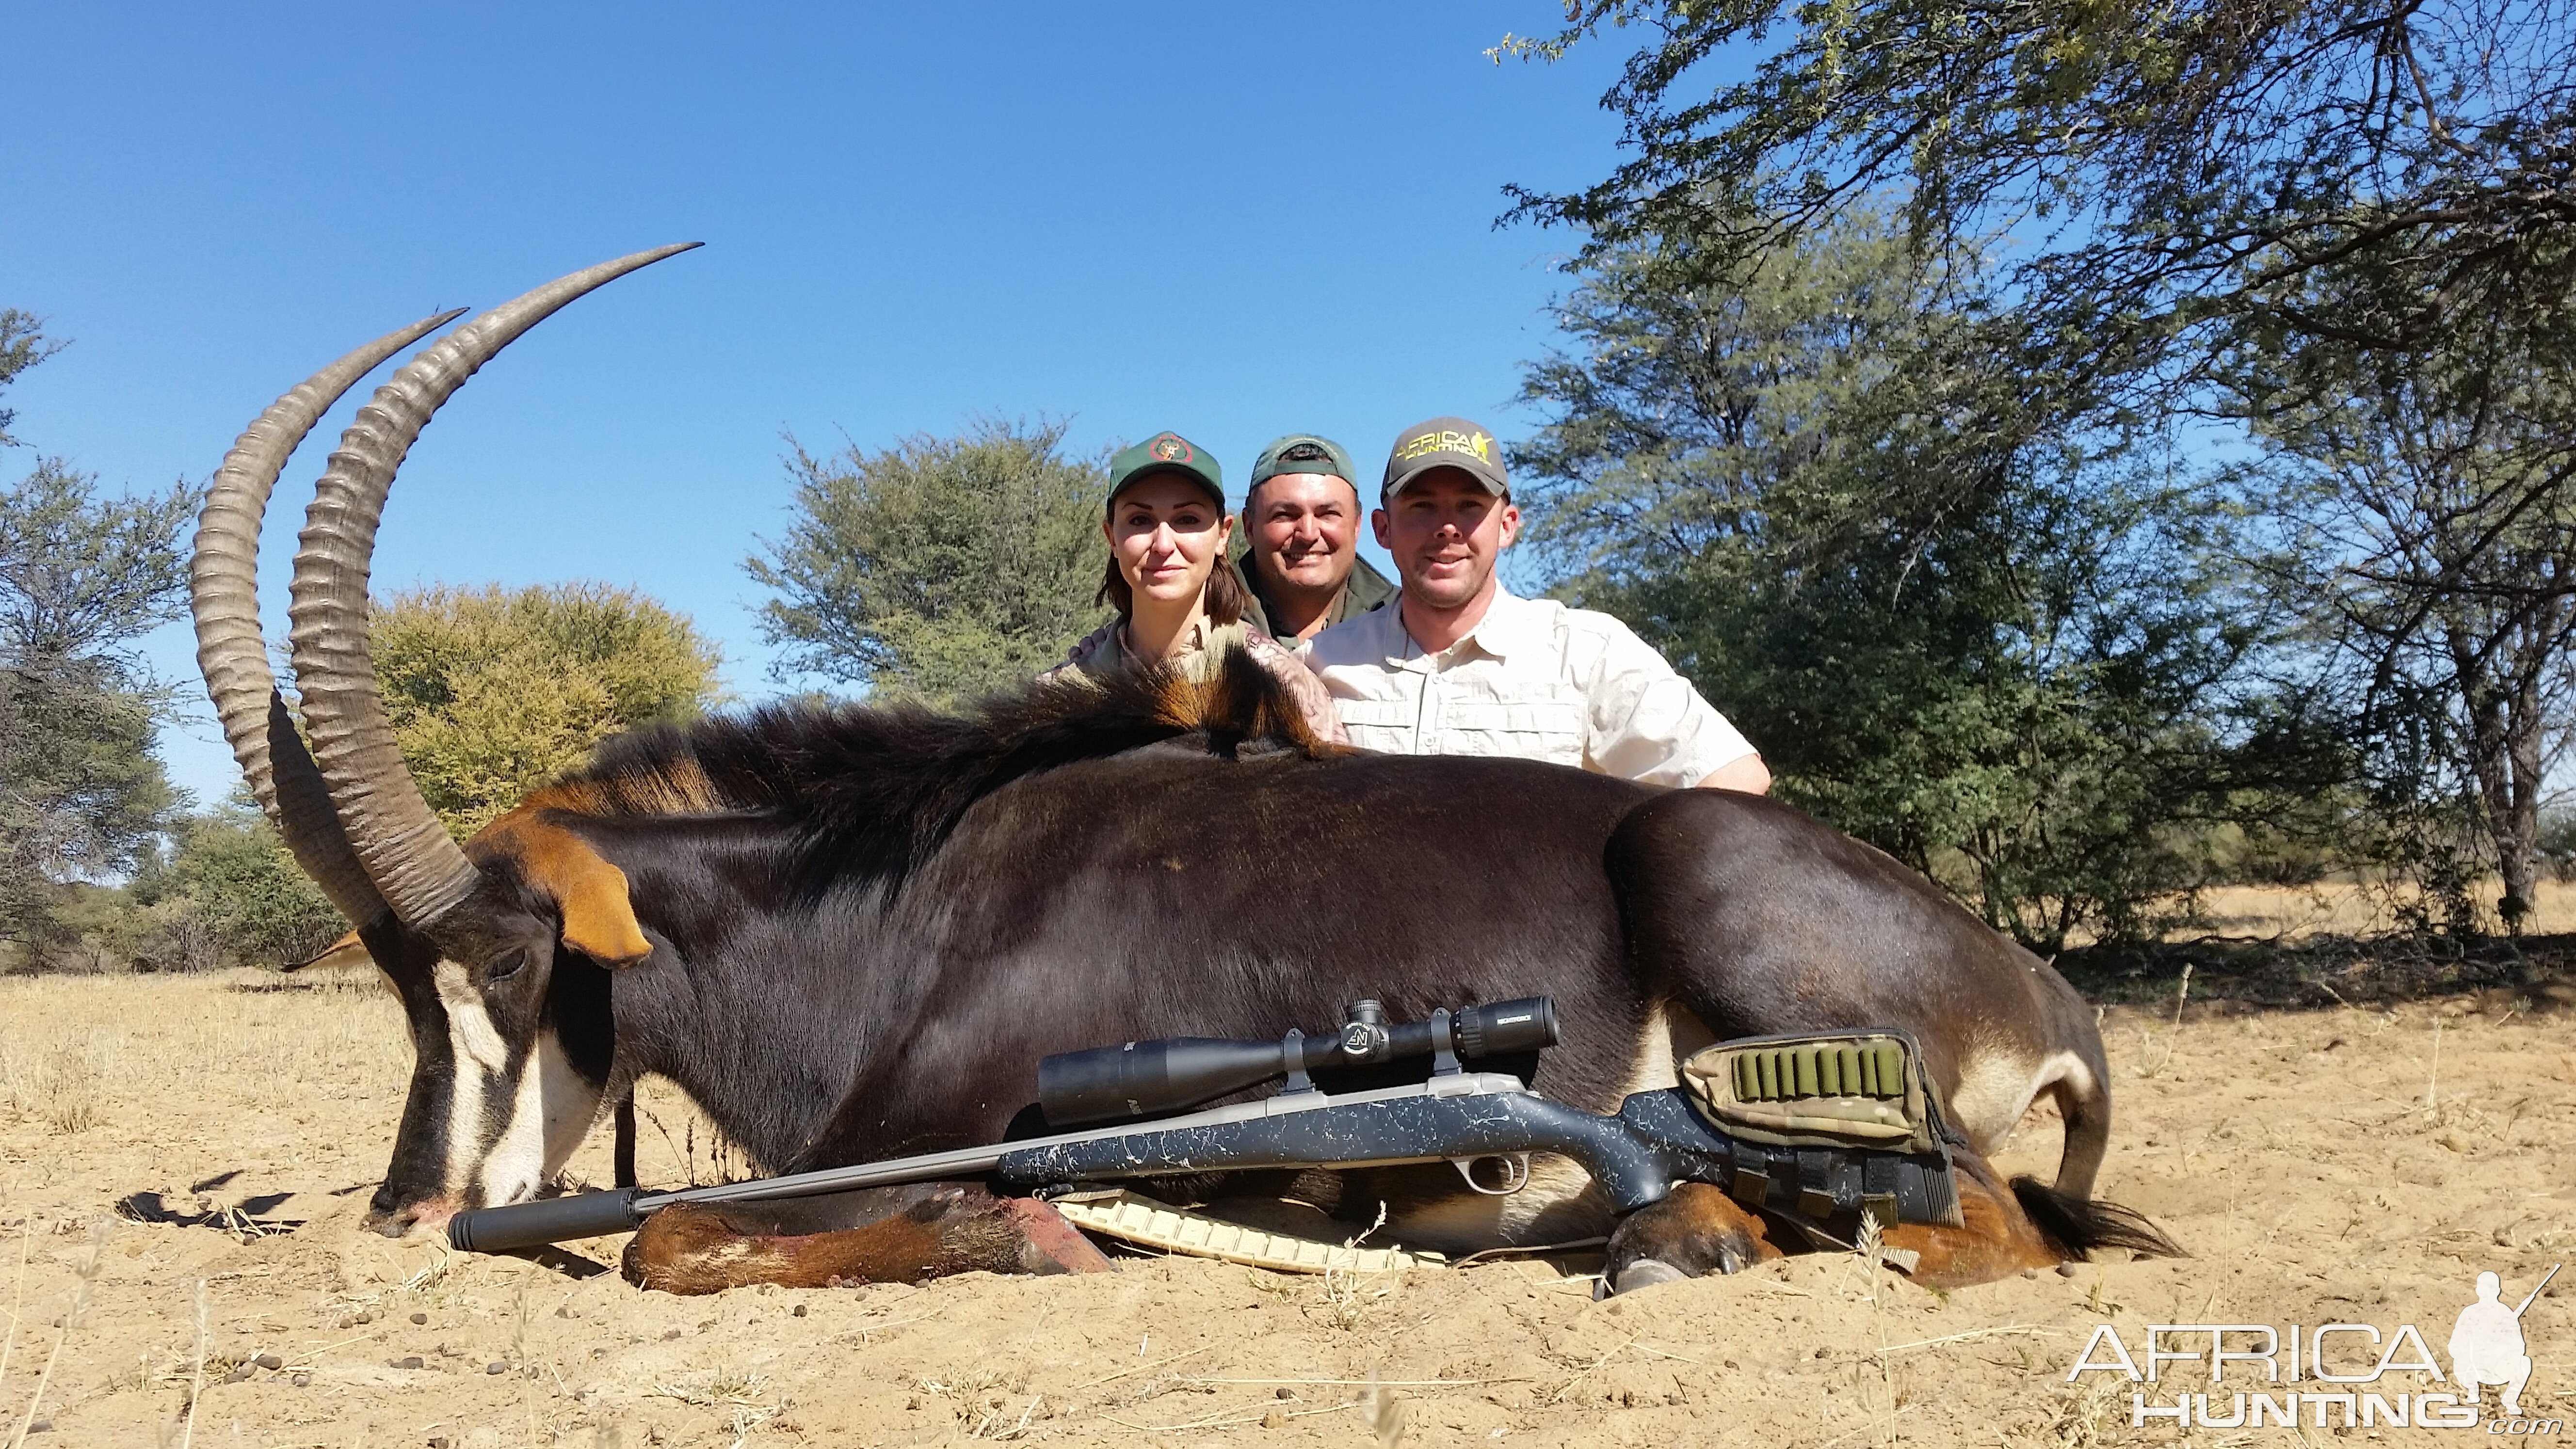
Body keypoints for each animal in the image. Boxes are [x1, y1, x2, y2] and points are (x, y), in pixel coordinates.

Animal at [195, 247, 2174, 1284]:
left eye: (511, 972)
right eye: (399, 989)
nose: (404, 1214)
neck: (890, 897)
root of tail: (2050, 999)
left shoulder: (913, 1135)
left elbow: (670, 1238)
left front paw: (1036, 1238)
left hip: (1710, 884)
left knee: (1968, 1222)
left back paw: (1671, 1230)